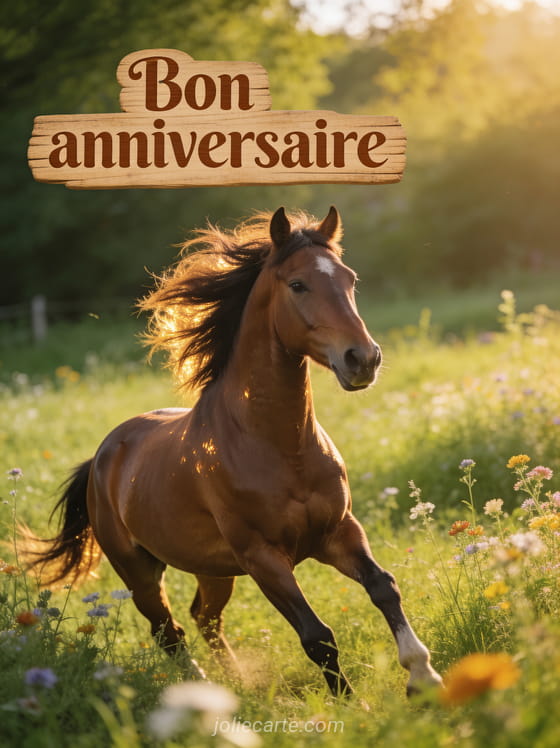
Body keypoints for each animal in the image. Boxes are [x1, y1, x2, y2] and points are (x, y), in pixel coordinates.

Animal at [30, 206, 442, 697]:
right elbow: (317, 635)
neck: (279, 447)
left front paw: (423, 675)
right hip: (139, 572)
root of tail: (102, 458)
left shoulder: (339, 531)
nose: (363, 359)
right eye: (297, 284)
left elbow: (383, 586)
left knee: (203, 618)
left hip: (212, 569)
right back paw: (200, 687)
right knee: (169, 631)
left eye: (350, 279)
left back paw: (233, 684)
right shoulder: (262, 557)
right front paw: (352, 704)